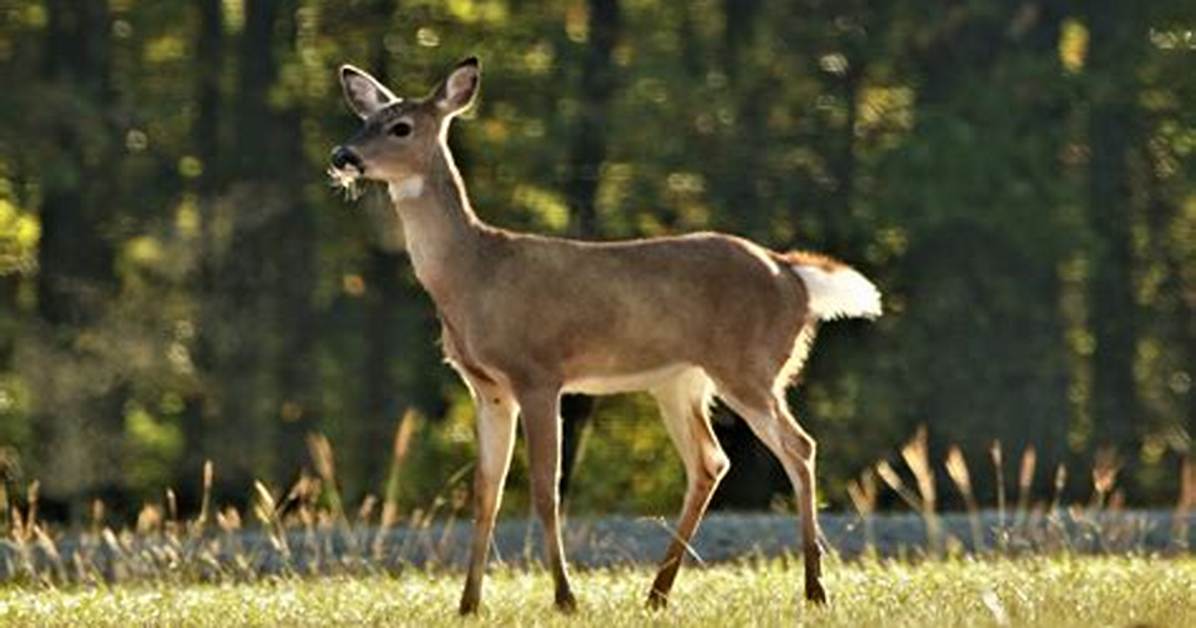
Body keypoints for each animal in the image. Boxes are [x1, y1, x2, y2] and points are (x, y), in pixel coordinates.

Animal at [328, 56, 882, 614]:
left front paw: (564, 597)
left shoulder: (538, 373)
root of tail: (792, 274)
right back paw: (658, 593)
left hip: (749, 367)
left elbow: (546, 489)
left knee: (799, 447)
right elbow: (487, 491)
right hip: (681, 380)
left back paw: (814, 590)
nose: (343, 155)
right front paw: (468, 604)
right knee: (710, 461)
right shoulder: (487, 387)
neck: (474, 274)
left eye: (401, 127)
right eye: (365, 120)